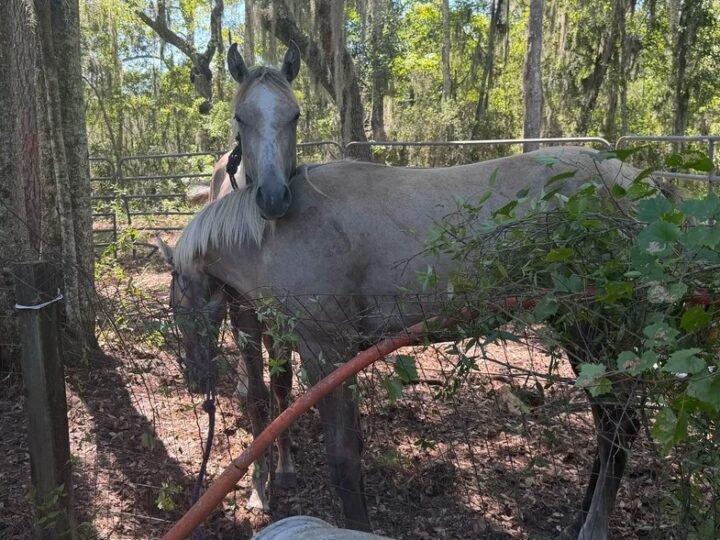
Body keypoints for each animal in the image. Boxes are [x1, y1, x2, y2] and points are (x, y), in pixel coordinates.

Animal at [161, 145, 652, 539]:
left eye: (178, 308)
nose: (195, 378)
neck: (280, 233)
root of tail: (637, 184)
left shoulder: (326, 352)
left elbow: (343, 457)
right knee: (609, 426)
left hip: (593, 330)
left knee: (618, 425)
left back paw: (592, 527)